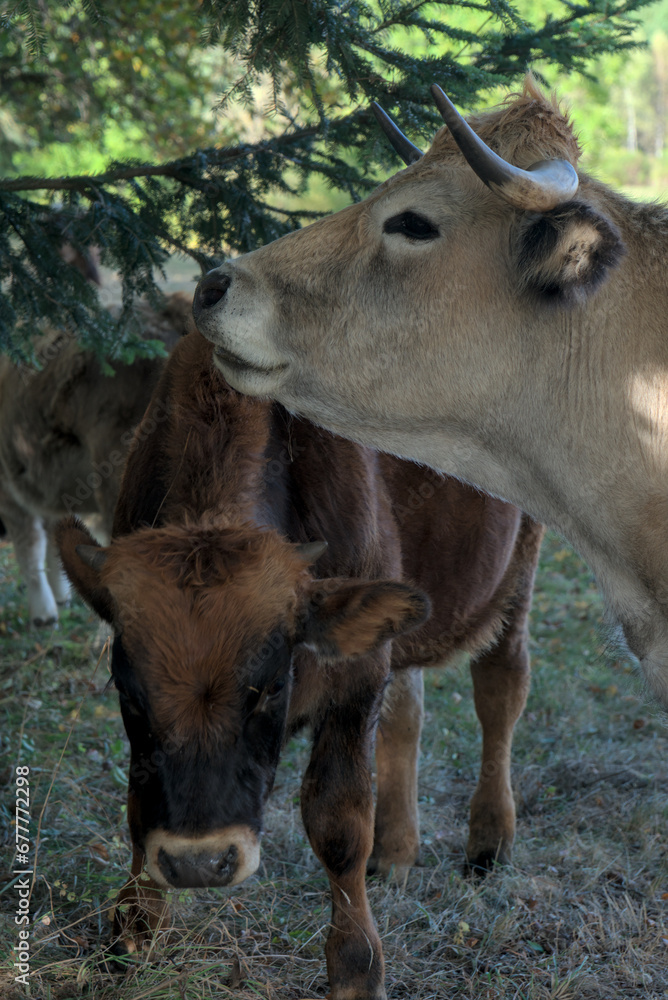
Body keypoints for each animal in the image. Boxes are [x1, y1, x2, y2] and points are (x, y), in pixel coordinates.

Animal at [57, 329, 543, 1000]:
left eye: (267, 687)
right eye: (129, 694)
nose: (200, 861)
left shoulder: (354, 682)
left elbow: (337, 821)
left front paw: (357, 968)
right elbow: (137, 803)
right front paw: (132, 932)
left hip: (517, 572)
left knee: (501, 692)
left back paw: (489, 844)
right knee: (408, 715)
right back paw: (396, 853)